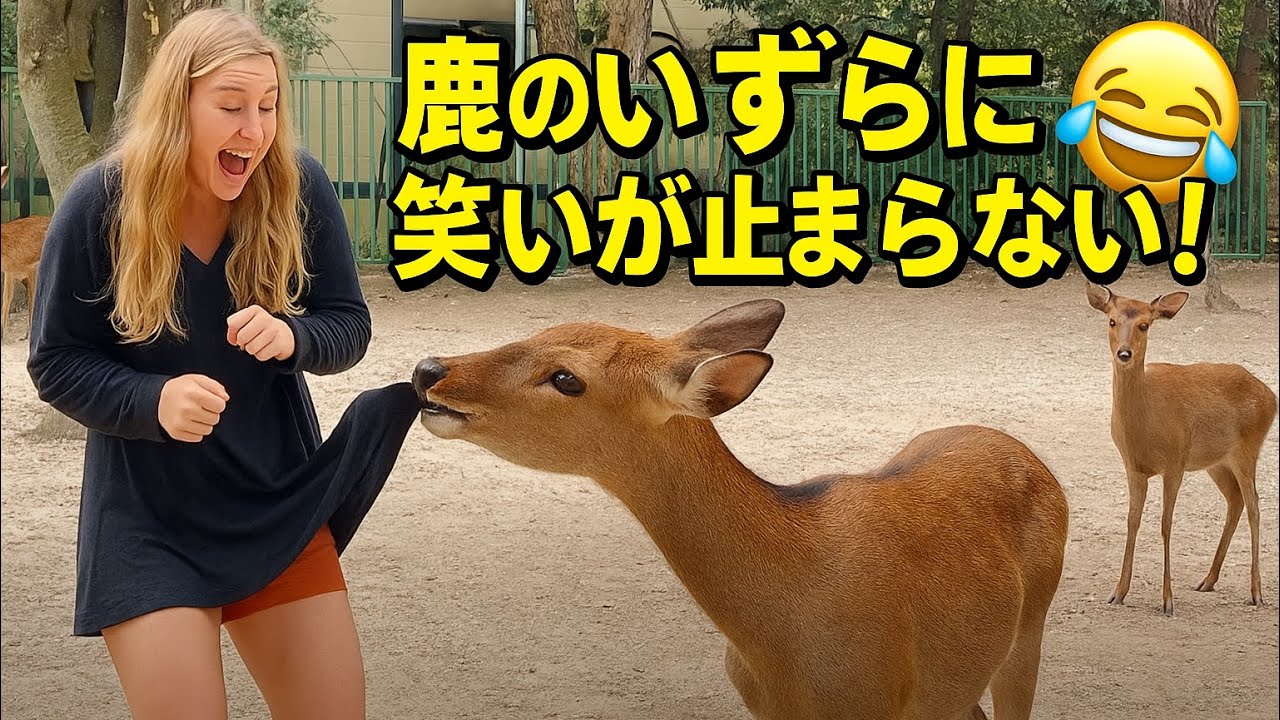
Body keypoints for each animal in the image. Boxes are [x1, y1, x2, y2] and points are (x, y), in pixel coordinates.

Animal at [1086, 282, 1277, 617]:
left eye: (1144, 325)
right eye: (1111, 321)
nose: (1124, 353)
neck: (1144, 429)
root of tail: (1271, 396)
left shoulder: (1175, 460)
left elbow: (1166, 524)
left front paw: (1167, 601)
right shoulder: (1133, 466)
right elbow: (1132, 521)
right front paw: (1118, 592)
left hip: (1248, 448)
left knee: (1254, 505)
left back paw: (1256, 592)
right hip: (1216, 462)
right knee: (1236, 500)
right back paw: (1207, 580)